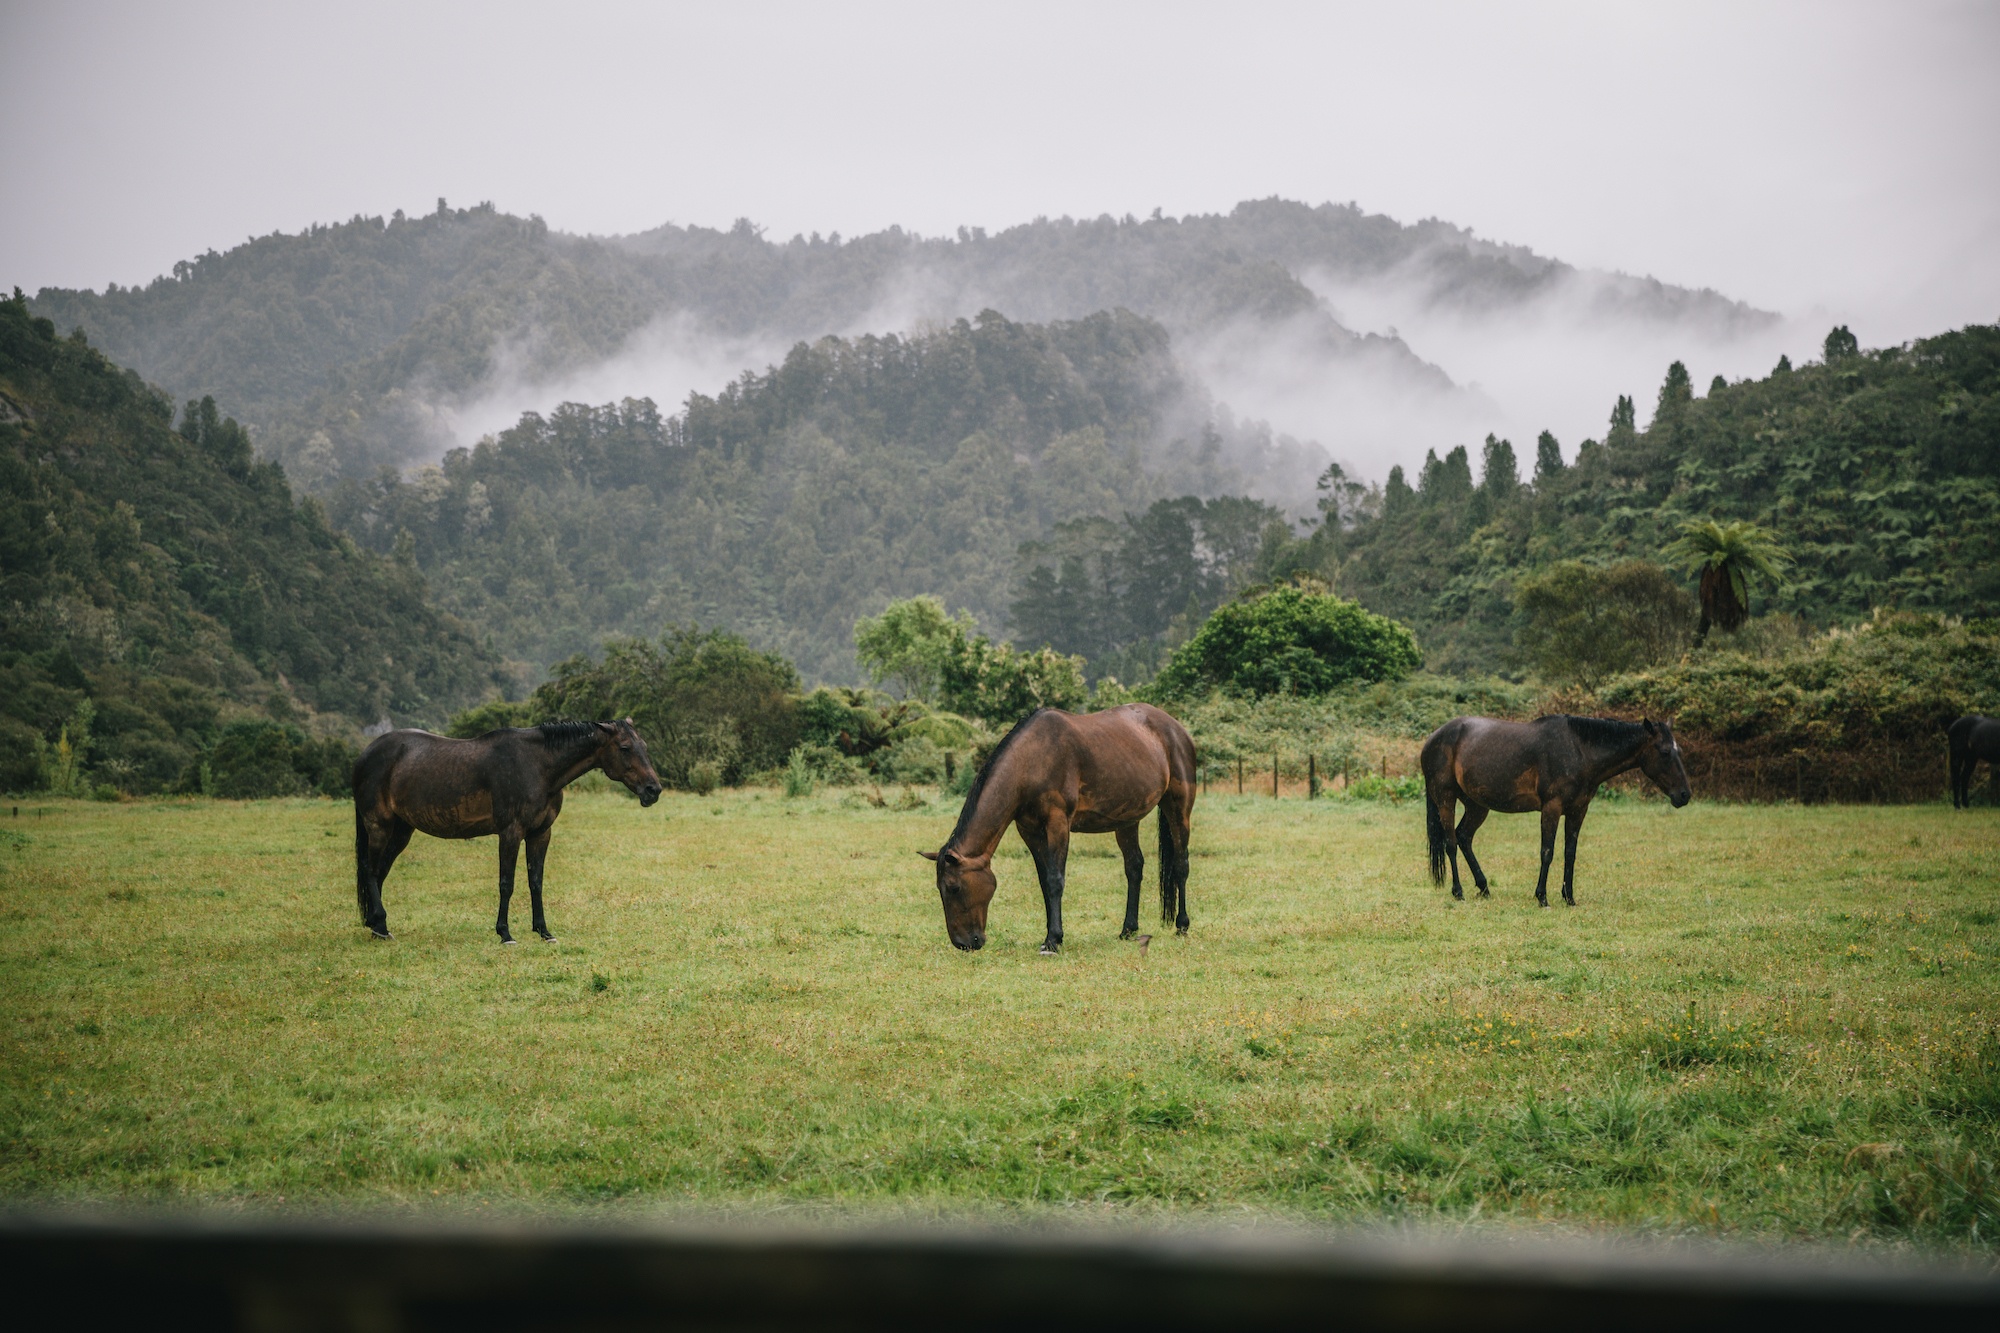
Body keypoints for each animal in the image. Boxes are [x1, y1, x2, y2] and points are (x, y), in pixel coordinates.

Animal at [352, 716, 664, 944]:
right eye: (624, 748)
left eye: (645, 746)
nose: (653, 790)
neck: (538, 766)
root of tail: (365, 754)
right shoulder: (510, 832)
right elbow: (507, 883)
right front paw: (505, 933)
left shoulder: (540, 833)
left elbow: (535, 881)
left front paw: (543, 931)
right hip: (379, 826)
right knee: (371, 870)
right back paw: (380, 924)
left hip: (402, 830)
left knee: (380, 871)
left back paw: (376, 924)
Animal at [916, 700, 1192, 948]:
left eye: (953, 888)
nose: (963, 943)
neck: (1032, 760)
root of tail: (1176, 728)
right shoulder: (1030, 830)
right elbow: (1043, 881)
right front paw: (1052, 934)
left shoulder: (1057, 824)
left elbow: (1055, 880)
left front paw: (1053, 940)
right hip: (1126, 819)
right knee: (1134, 867)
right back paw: (1128, 929)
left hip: (1178, 808)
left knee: (1180, 864)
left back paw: (1182, 925)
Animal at [1424, 716, 1688, 904]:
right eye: (1665, 752)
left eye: (1679, 751)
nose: (1684, 795)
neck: (1579, 750)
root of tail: (1433, 738)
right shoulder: (1551, 808)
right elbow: (1547, 851)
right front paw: (1542, 896)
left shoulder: (1578, 811)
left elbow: (1569, 853)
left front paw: (1569, 897)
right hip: (1446, 799)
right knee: (1451, 843)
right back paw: (1458, 891)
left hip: (1477, 806)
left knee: (1464, 837)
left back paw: (1484, 887)